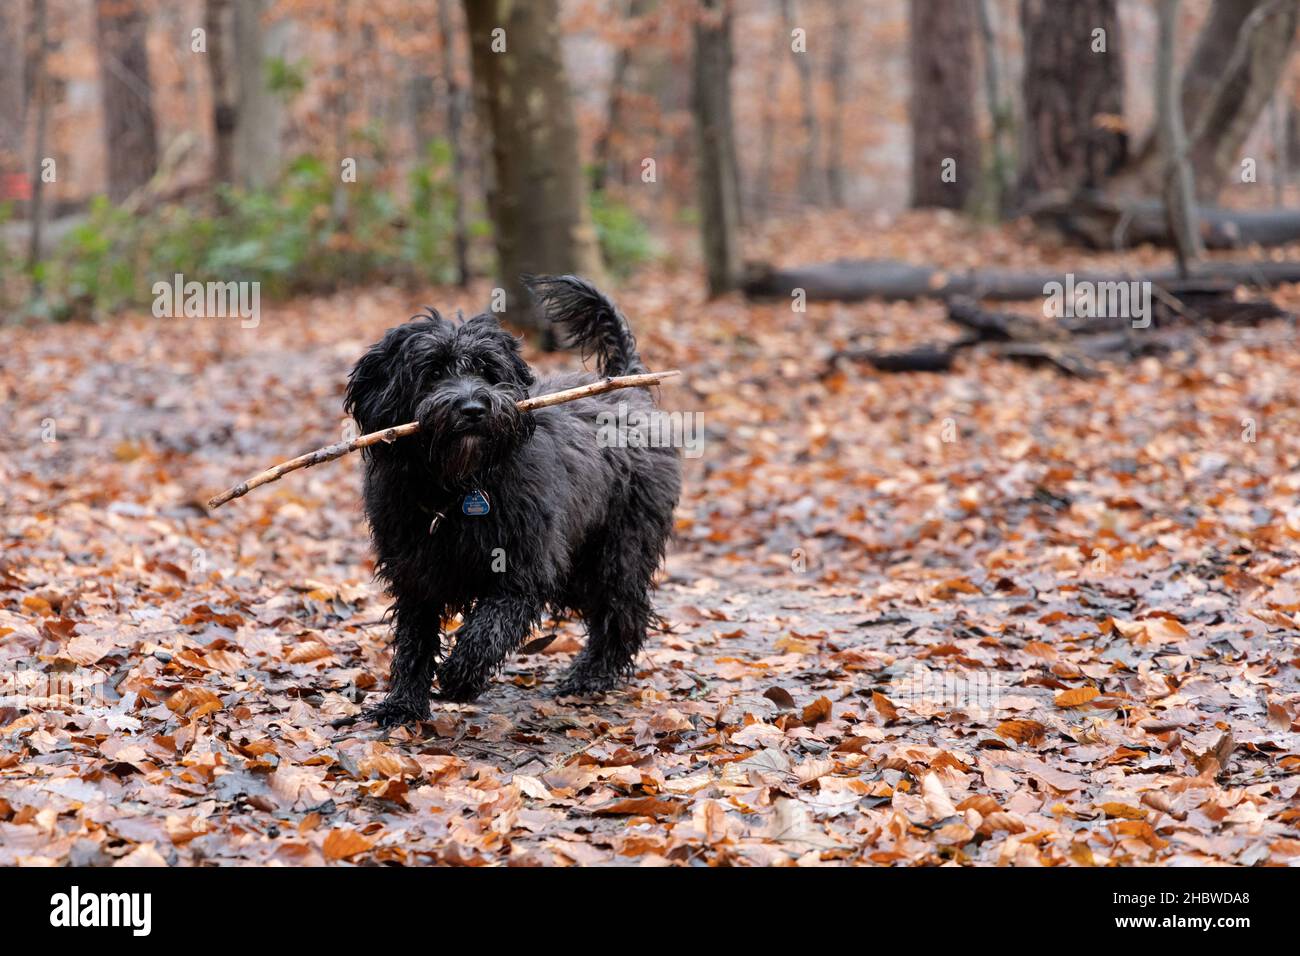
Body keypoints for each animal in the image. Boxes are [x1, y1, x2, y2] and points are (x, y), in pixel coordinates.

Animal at [340, 274, 686, 723]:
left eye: (487, 371)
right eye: (432, 372)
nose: (473, 408)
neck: (458, 487)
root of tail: (626, 386)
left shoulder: (524, 565)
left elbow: (492, 623)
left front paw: (461, 676)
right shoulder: (415, 570)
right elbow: (415, 639)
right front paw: (403, 704)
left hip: (615, 548)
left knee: (622, 607)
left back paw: (592, 675)